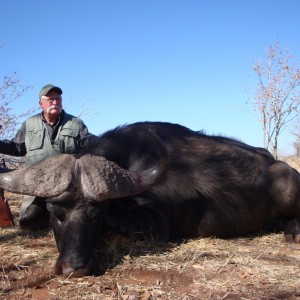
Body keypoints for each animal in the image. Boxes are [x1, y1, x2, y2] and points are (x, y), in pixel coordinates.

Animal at [0, 121, 300, 276]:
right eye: (55, 212)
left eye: (96, 214)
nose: (75, 268)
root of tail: (274, 163)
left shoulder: (155, 226)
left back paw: (292, 233)